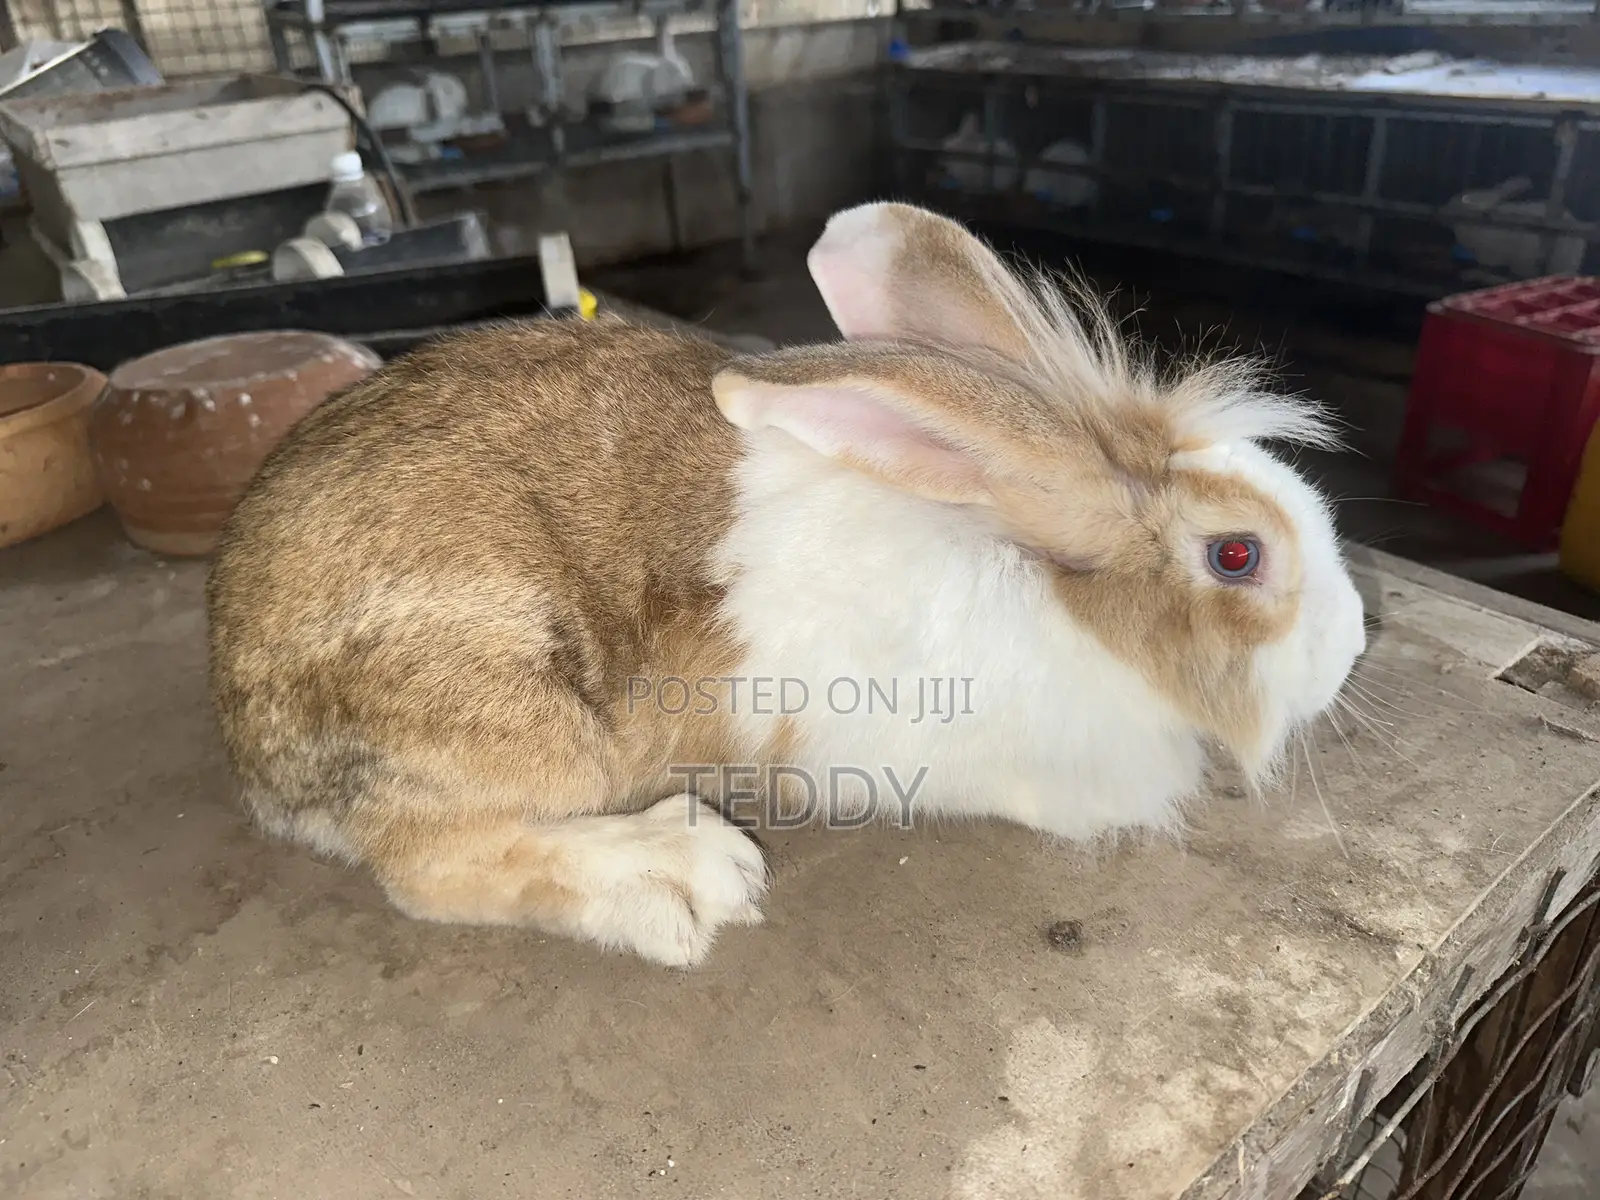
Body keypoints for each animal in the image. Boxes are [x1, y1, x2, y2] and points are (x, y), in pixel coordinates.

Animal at [206, 202, 1367, 967]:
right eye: (1237, 556)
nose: (1356, 640)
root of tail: (248, 746)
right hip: (516, 717)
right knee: (428, 865)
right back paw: (681, 877)